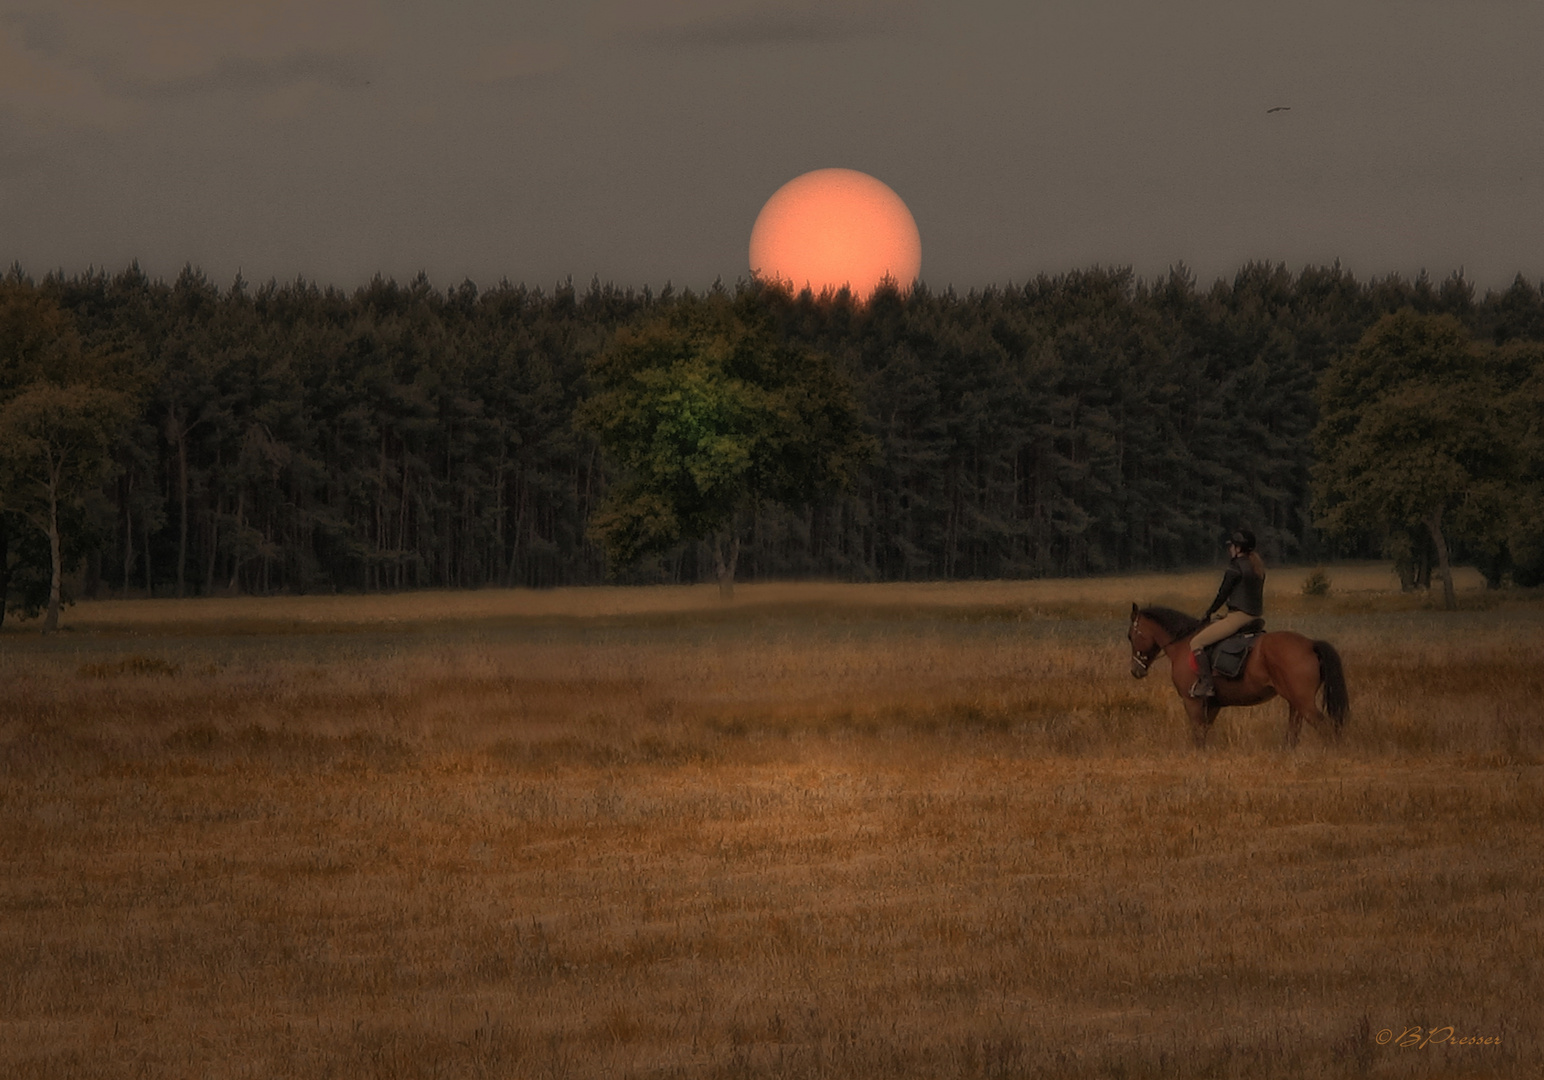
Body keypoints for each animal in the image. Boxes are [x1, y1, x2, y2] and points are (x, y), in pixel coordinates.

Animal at [1130, 605, 1346, 747]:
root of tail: (1310, 643)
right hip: (1296, 703)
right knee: (1294, 732)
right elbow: (1204, 732)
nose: (1135, 671)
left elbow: (1198, 735)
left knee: (1326, 728)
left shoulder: (1192, 701)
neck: (1183, 644)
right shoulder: (1213, 704)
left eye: (1131, 636)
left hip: (1304, 703)